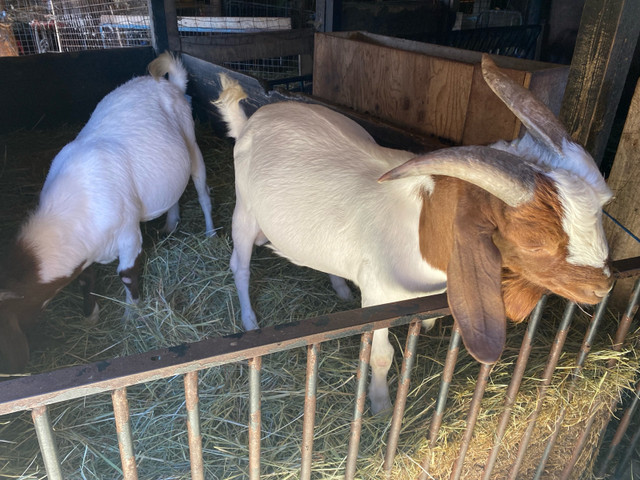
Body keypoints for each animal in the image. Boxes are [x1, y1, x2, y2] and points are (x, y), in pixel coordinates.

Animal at [0, 53, 215, 376]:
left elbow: (126, 275)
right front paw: (90, 316)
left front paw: (131, 314)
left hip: (191, 144)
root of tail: (169, 83)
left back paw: (211, 232)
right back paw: (170, 224)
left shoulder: (129, 236)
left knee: (201, 189)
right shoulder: (84, 250)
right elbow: (85, 280)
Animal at [216, 56, 616, 414]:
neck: (422, 227)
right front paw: (380, 404)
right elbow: (381, 355)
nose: (604, 286)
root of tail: (252, 120)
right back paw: (250, 321)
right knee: (240, 265)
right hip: (245, 211)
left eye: (602, 209)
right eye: (534, 241)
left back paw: (339, 286)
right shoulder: (378, 297)